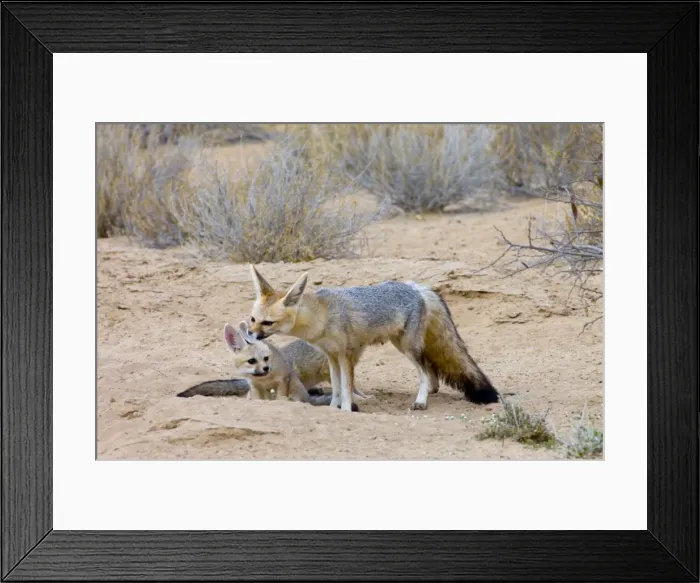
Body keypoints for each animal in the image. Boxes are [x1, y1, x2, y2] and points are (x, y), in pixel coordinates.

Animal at [246, 265, 501, 412]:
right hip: (404, 344)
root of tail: (415, 287)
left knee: (424, 372)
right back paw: (431, 391)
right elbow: (336, 388)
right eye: (252, 319)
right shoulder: (331, 356)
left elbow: (346, 388)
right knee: (430, 367)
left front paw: (346, 410)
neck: (321, 315)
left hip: (407, 347)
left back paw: (421, 401)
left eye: (267, 323)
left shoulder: (345, 355)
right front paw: (333, 408)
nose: (249, 335)